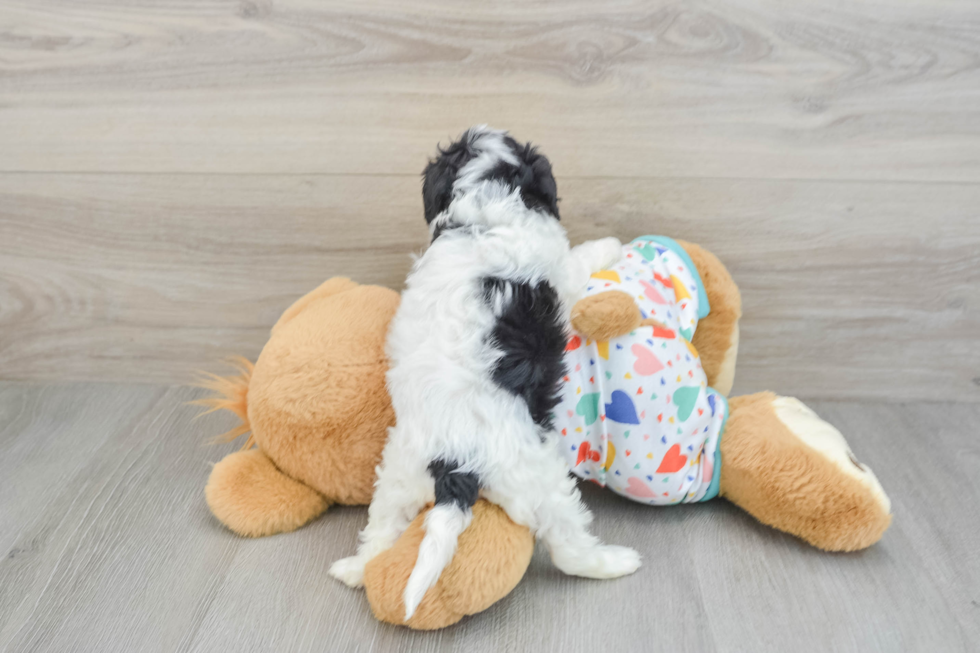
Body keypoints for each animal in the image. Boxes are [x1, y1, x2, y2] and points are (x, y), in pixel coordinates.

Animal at [326, 126, 640, 616]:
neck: (482, 210)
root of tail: (453, 464)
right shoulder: (559, 269)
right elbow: (579, 260)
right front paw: (608, 244)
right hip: (540, 481)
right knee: (569, 550)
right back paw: (615, 562)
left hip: (399, 476)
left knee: (380, 532)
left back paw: (354, 569)